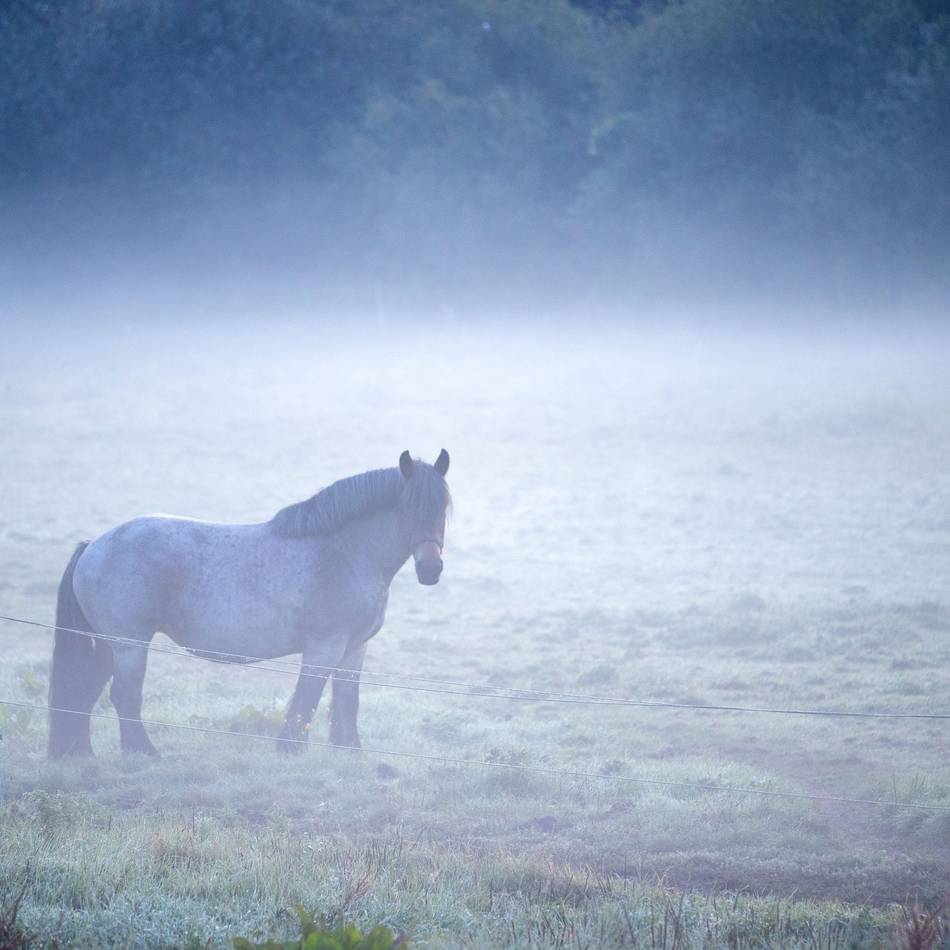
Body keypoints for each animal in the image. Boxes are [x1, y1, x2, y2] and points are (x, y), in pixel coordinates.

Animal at [47, 449, 451, 758]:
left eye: (442, 509)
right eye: (408, 508)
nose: (431, 569)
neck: (345, 552)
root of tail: (94, 544)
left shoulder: (354, 649)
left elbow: (347, 701)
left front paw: (350, 751)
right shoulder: (324, 648)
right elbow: (306, 701)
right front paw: (290, 750)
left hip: (107, 645)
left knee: (85, 691)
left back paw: (80, 753)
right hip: (129, 644)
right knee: (124, 696)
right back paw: (144, 752)